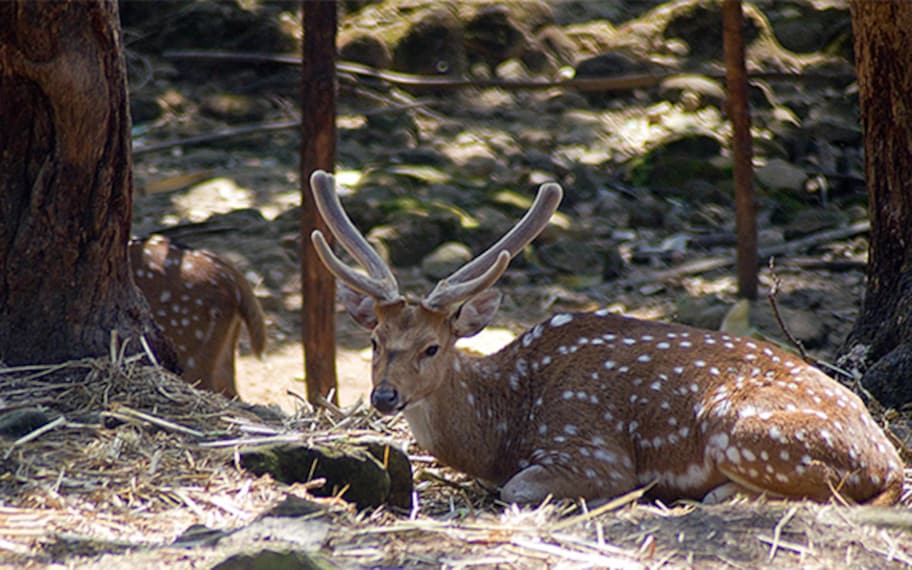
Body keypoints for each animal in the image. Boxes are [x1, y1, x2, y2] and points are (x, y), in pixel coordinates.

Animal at [308, 170, 904, 506]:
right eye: (375, 340)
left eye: (433, 347)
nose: (385, 395)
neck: (505, 424)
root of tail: (889, 455)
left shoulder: (591, 449)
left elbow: (518, 488)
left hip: (743, 430)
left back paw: (718, 493)